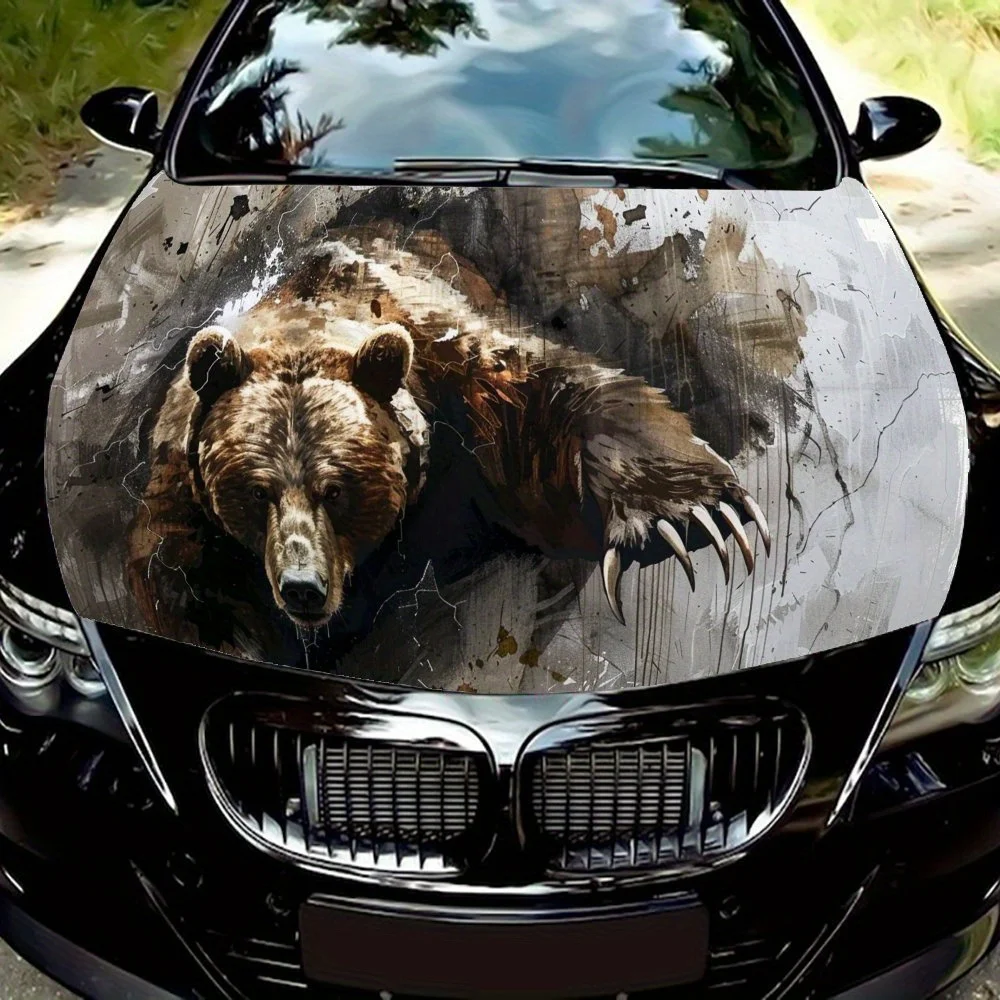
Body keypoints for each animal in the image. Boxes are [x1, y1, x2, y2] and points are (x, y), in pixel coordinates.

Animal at [126, 236, 771, 660]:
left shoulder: (465, 386)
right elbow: (186, 592)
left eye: (336, 489)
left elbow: (555, 402)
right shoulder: (181, 499)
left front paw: (692, 514)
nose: (303, 586)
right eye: (257, 493)